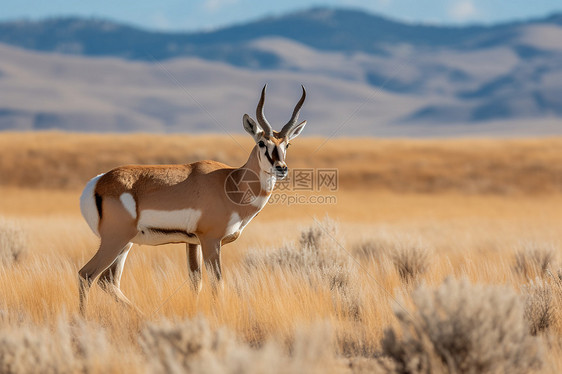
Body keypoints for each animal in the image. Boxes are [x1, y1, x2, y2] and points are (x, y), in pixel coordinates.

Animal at [77, 84, 306, 312]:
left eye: (287, 144)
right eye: (261, 143)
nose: (281, 168)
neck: (232, 183)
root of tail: (98, 181)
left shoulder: (192, 242)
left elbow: (196, 282)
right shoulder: (211, 241)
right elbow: (217, 283)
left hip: (126, 244)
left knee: (108, 280)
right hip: (115, 241)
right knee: (86, 274)